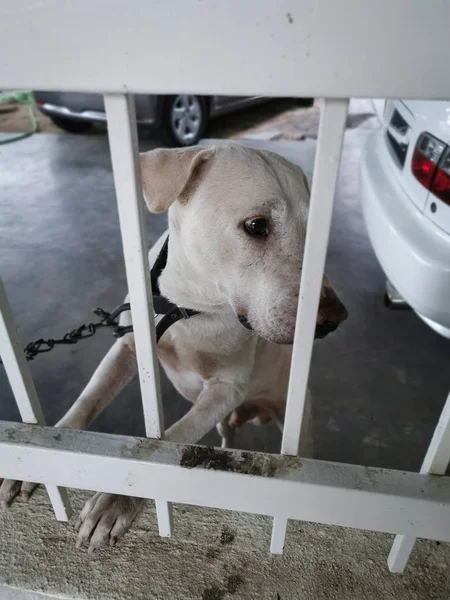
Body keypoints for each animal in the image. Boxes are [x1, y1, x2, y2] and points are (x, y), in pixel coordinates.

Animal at [0, 142, 348, 552]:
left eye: (316, 234)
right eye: (256, 225)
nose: (336, 318)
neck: (187, 306)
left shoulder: (226, 389)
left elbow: (171, 440)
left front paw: (116, 500)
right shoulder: (128, 348)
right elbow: (87, 402)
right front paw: (42, 453)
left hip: (297, 422)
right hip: (225, 421)